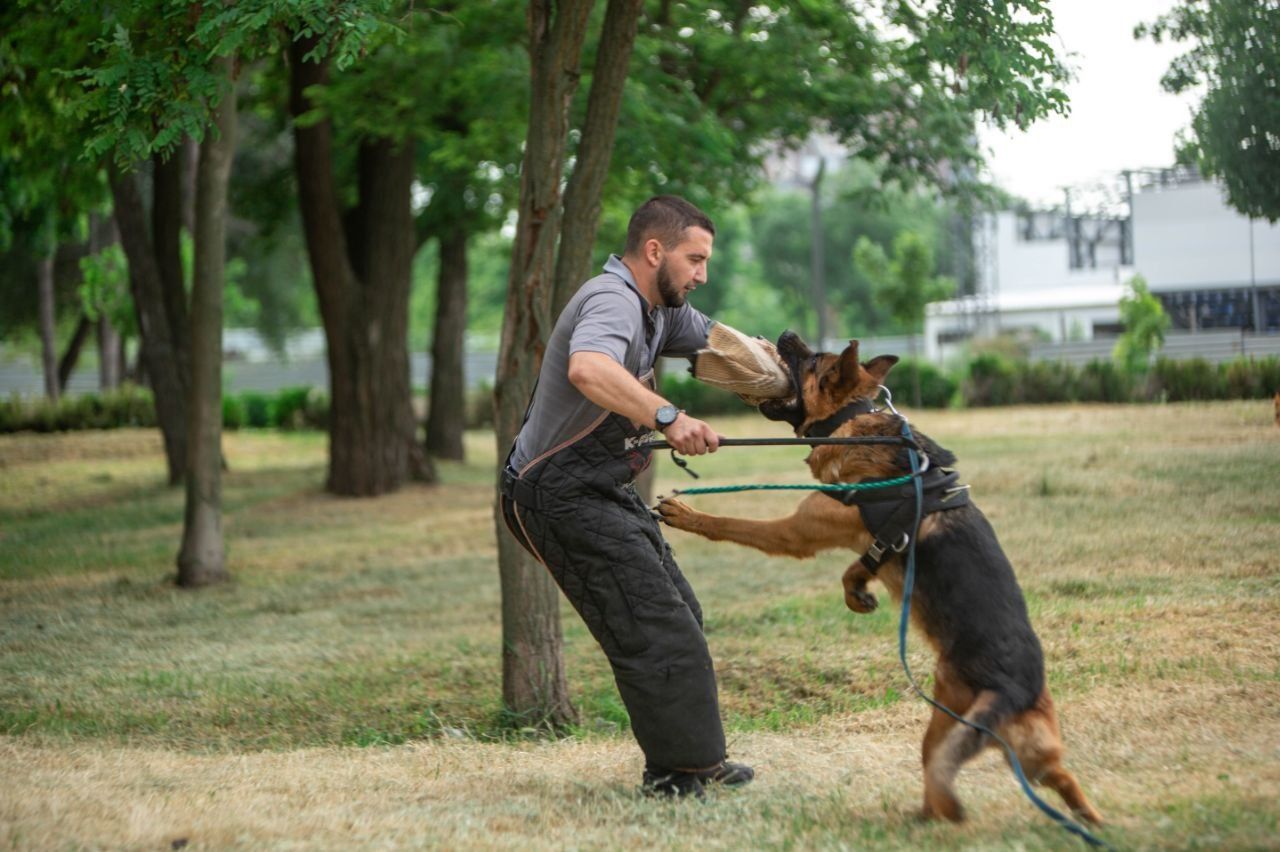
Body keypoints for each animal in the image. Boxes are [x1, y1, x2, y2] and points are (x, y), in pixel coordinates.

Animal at [660, 332, 1100, 823]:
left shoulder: (796, 531)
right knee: (1046, 776)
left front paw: (688, 514)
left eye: (809, 361)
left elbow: (733, 523)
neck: (852, 420)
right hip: (979, 740)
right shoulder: (865, 544)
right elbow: (858, 567)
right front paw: (857, 593)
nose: (786, 335)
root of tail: (1008, 686)